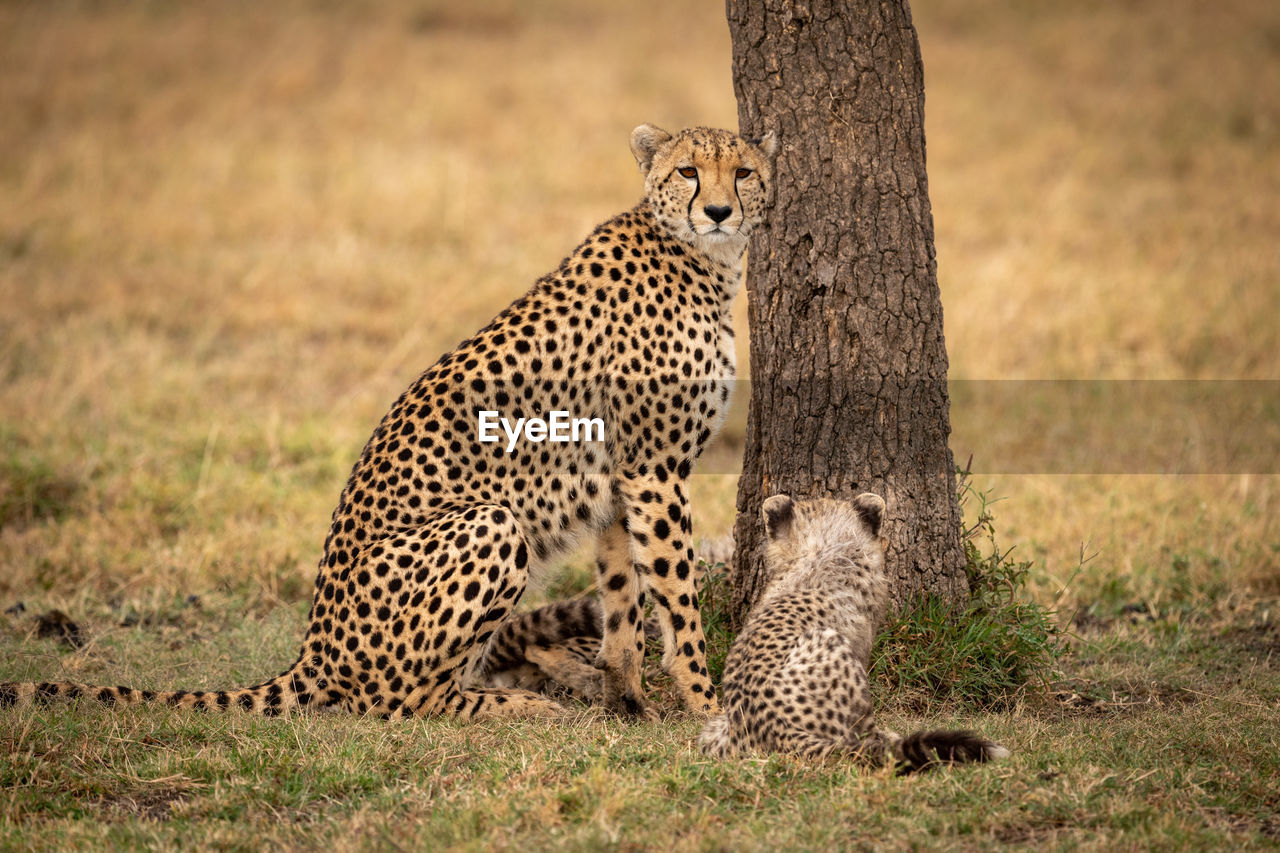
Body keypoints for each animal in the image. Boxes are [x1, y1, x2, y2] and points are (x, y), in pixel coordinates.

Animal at [0, 126, 773, 722]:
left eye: (742, 172)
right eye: (686, 170)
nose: (718, 210)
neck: (704, 260)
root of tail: (312, 647)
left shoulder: (622, 476)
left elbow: (623, 599)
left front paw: (628, 698)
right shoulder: (654, 469)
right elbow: (675, 598)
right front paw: (708, 706)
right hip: (491, 523)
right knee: (397, 700)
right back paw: (514, 704)